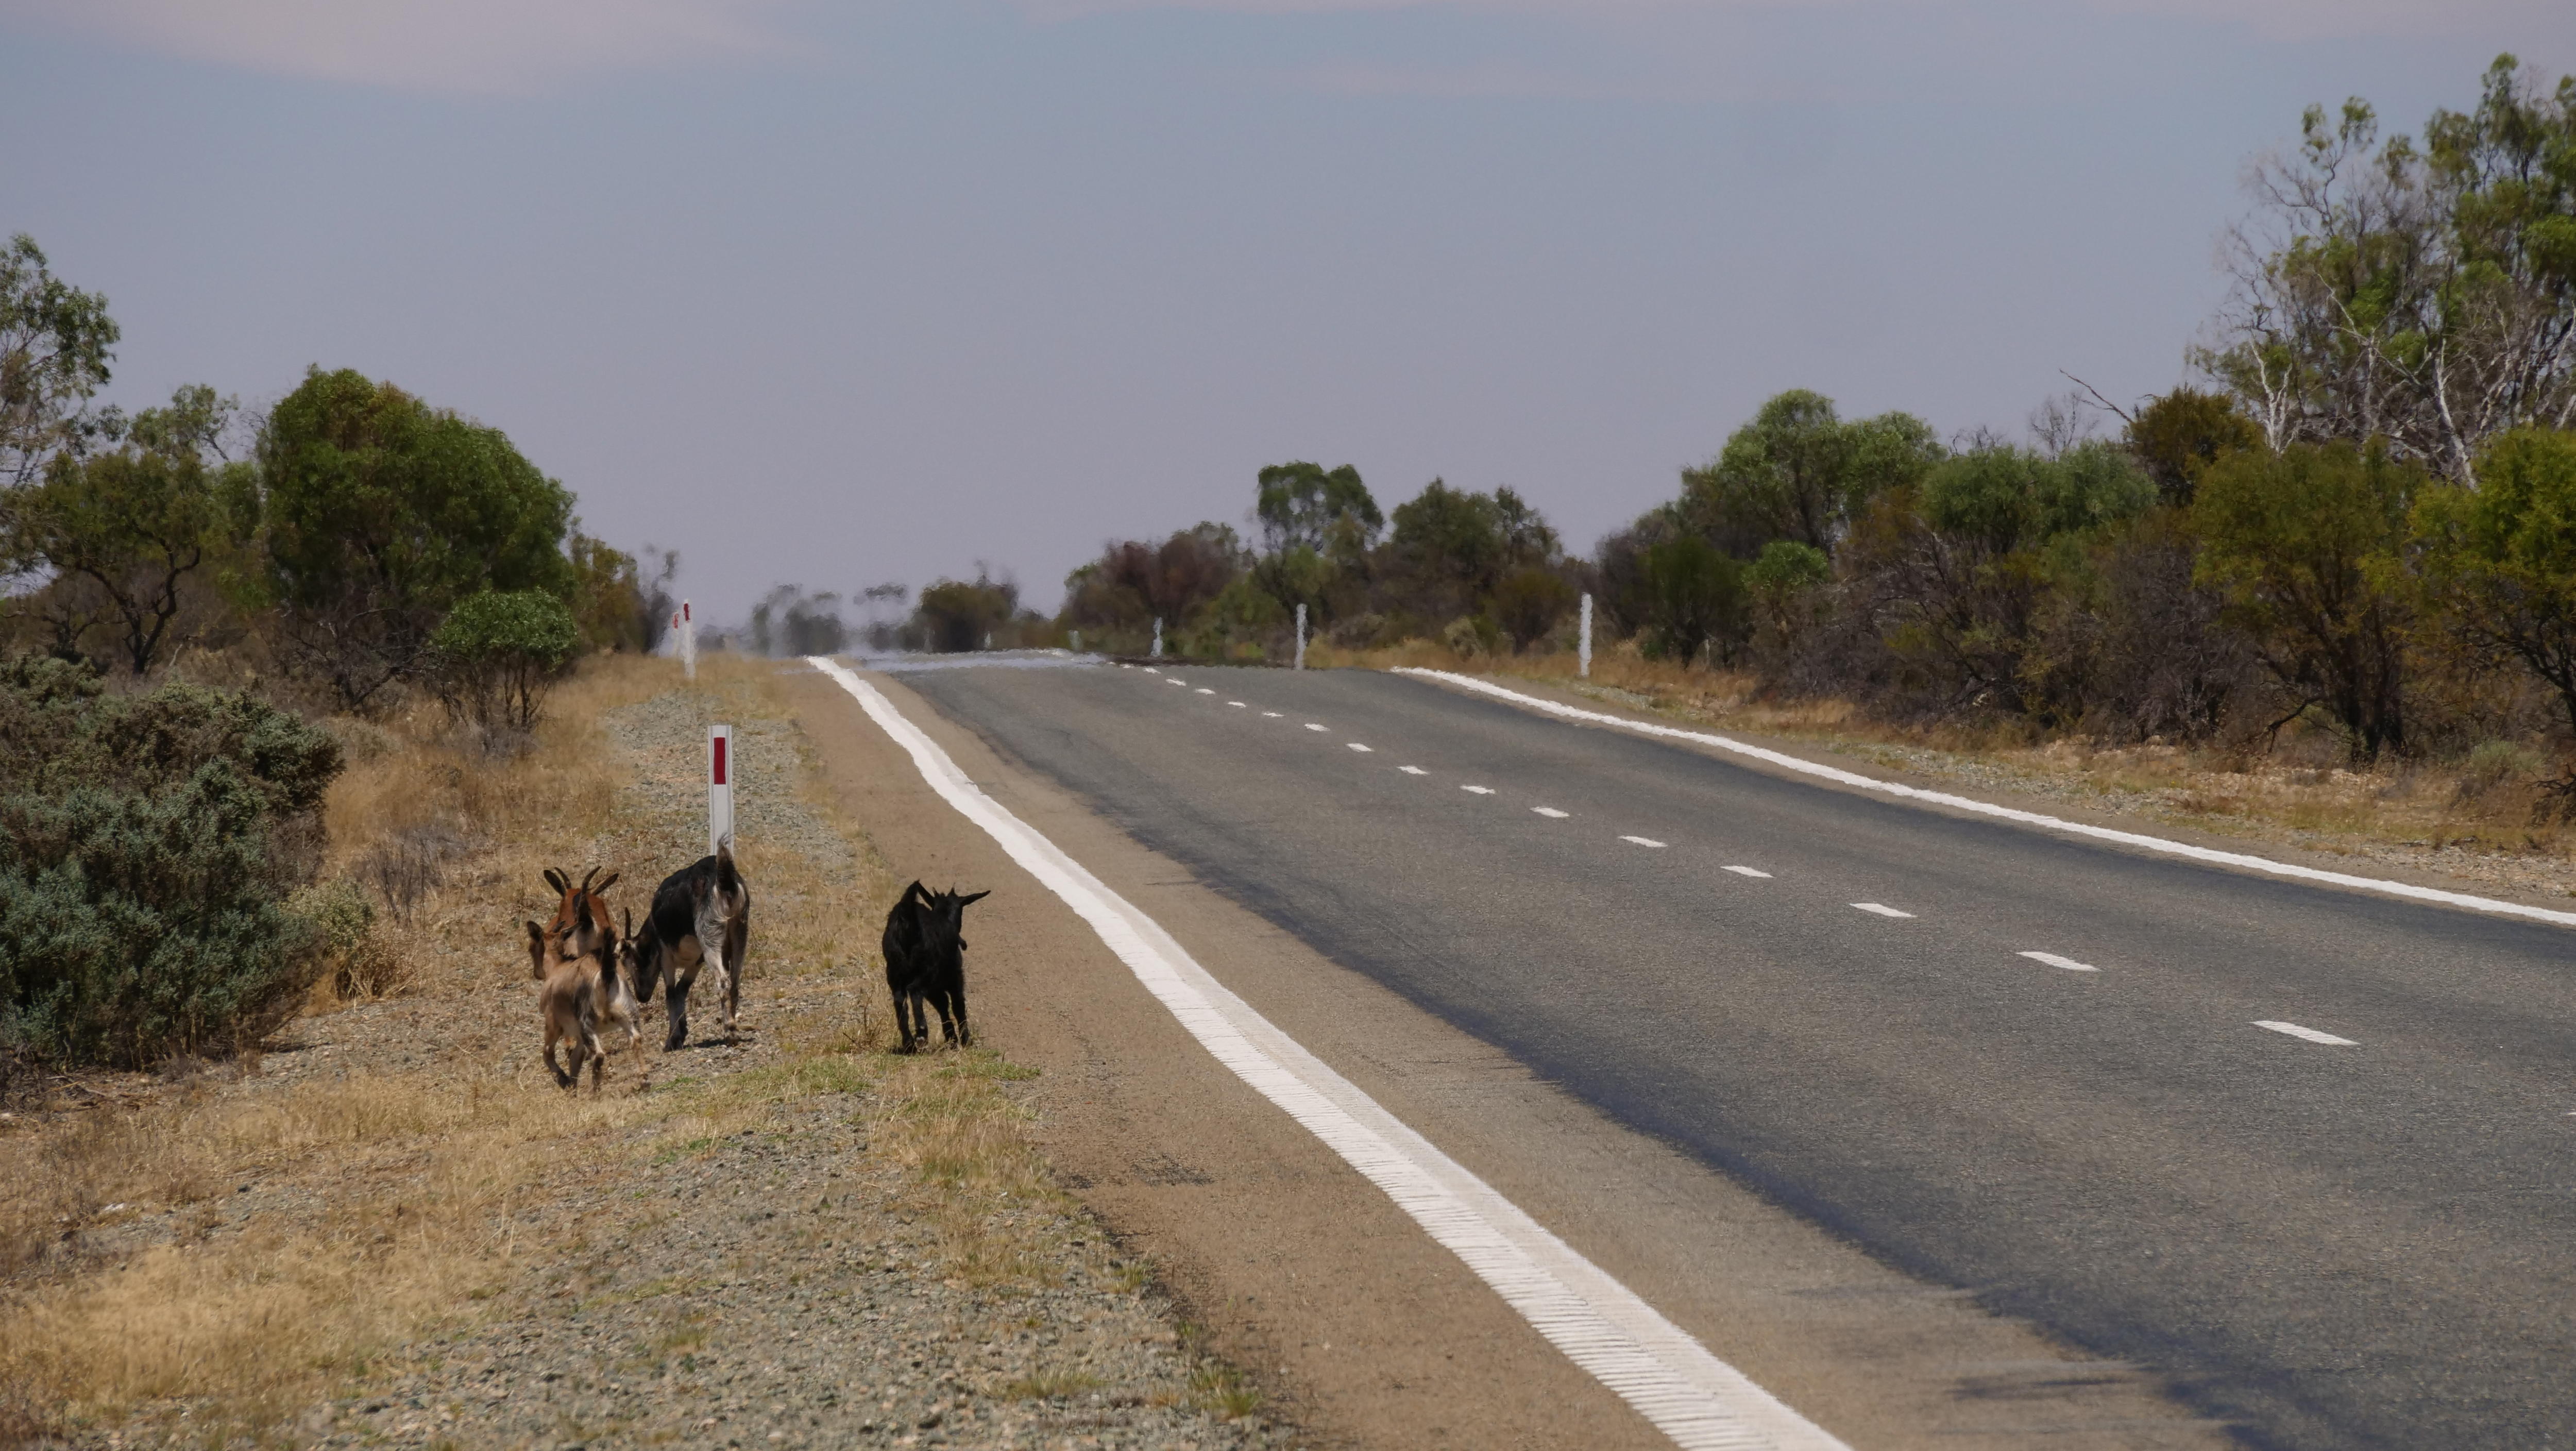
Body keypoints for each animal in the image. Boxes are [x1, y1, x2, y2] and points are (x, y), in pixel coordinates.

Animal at [630, 839, 751, 1050]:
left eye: (632, 963)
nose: (641, 996)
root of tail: (723, 879)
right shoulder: (697, 961)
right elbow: (682, 990)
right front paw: (681, 1033)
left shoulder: (665, 955)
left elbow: (671, 993)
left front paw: (672, 1040)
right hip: (740, 931)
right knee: (735, 983)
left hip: (710, 933)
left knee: (723, 982)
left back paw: (730, 1033)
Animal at [881, 880, 989, 1053]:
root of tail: (905, 917)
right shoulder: (954, 978)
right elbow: (958, 1006)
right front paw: (964, 1040)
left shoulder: (934, 990)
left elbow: (942, 1006)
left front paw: (952, 1039)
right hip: (927, 971)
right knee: (914, 990)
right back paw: (921, 1033)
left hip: (894, 973)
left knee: (900, 1000)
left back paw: (909, 1042)